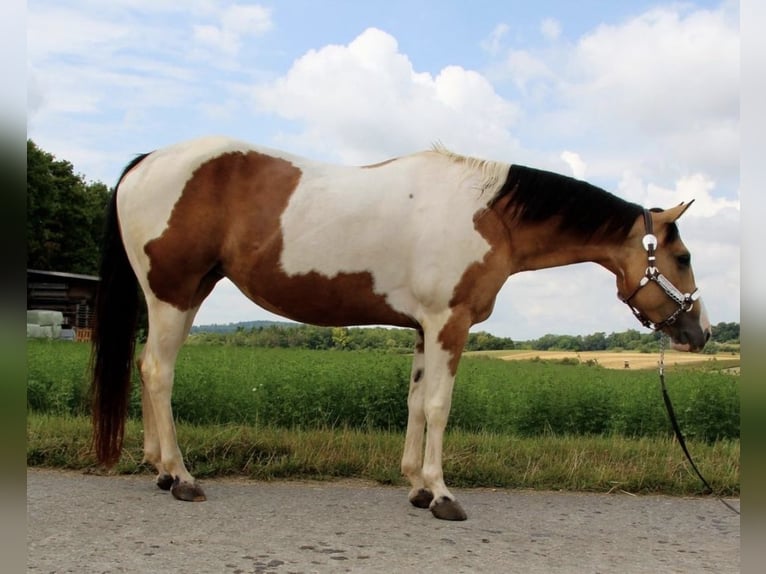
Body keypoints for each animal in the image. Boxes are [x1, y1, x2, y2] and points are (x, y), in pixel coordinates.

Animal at [91, 136, 711, 521]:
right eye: (681, 257)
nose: (699, 333)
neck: (489, 215)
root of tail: (147, 161)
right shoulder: (448, 323)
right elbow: (439, 405)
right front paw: (440, 494)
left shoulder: (421, 327)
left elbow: (415, 402)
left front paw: (414, 485)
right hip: (173, 295)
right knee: (159, 373)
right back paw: (182, 477)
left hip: (183, 294)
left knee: (145, 369)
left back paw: (161, 472)